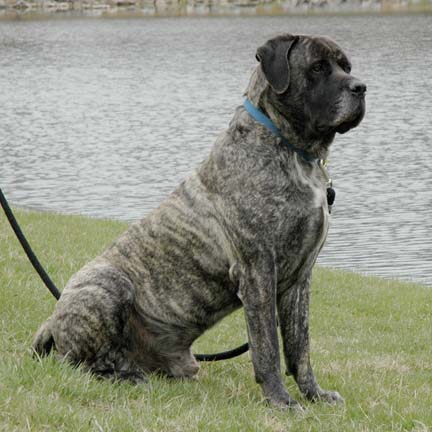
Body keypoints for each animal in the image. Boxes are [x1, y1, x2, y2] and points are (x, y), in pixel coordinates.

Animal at [32, 34, 366, 408]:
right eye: (318, 67)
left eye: (346, 66)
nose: (361, 87)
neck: (294, 151)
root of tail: (51, 322)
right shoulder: (258, 272)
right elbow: (267, 347)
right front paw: (280, 401)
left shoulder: (299, 279)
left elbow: (299, 348)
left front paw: (314, 394)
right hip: (107, 284)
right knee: (78, 364)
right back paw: (125, 376)